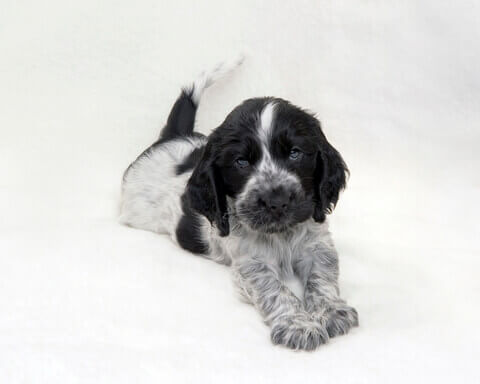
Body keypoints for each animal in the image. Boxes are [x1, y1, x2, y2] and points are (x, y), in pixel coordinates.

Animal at [120, 60, 358, 352]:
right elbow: (275, 289)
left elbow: (322, 275)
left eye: (295, 153)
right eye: (241, 162)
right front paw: (297, 325)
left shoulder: (317, 243)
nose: (276, 202)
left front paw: (331, 311)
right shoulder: (250, 264)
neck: (282, 235)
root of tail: (173, 137)